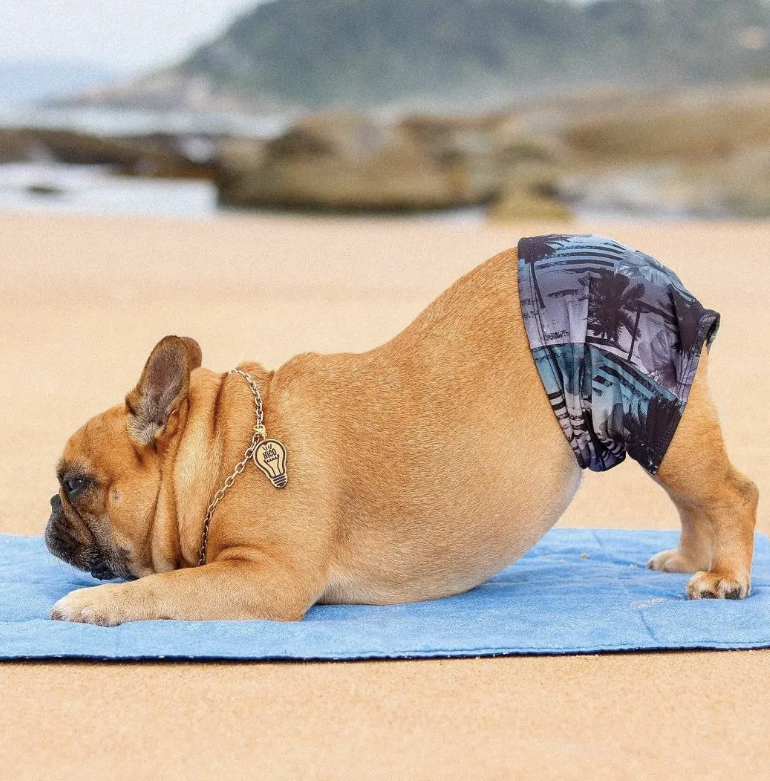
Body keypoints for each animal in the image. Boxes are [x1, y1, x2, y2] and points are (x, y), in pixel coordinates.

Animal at [46, 234, 759, 625]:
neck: (225, 450)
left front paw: (93, 606)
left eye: (75, 483)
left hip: (655, 415)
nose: (50, 507)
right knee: (694, 500)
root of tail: (664, 277)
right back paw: (690, 559)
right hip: (659, 428)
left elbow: (166, 586)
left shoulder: (267, 576)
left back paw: (725, 577)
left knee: (733, 493)